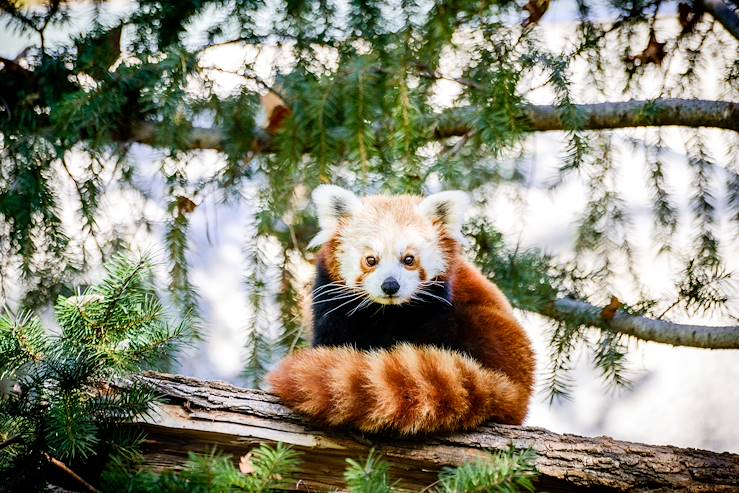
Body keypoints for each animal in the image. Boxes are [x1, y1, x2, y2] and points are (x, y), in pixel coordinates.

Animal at [268, 185, 536, 434]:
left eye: (409, 259)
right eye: (371, 260)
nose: (390, 285)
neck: (385, 312)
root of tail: (519, 389)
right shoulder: (331, 302)